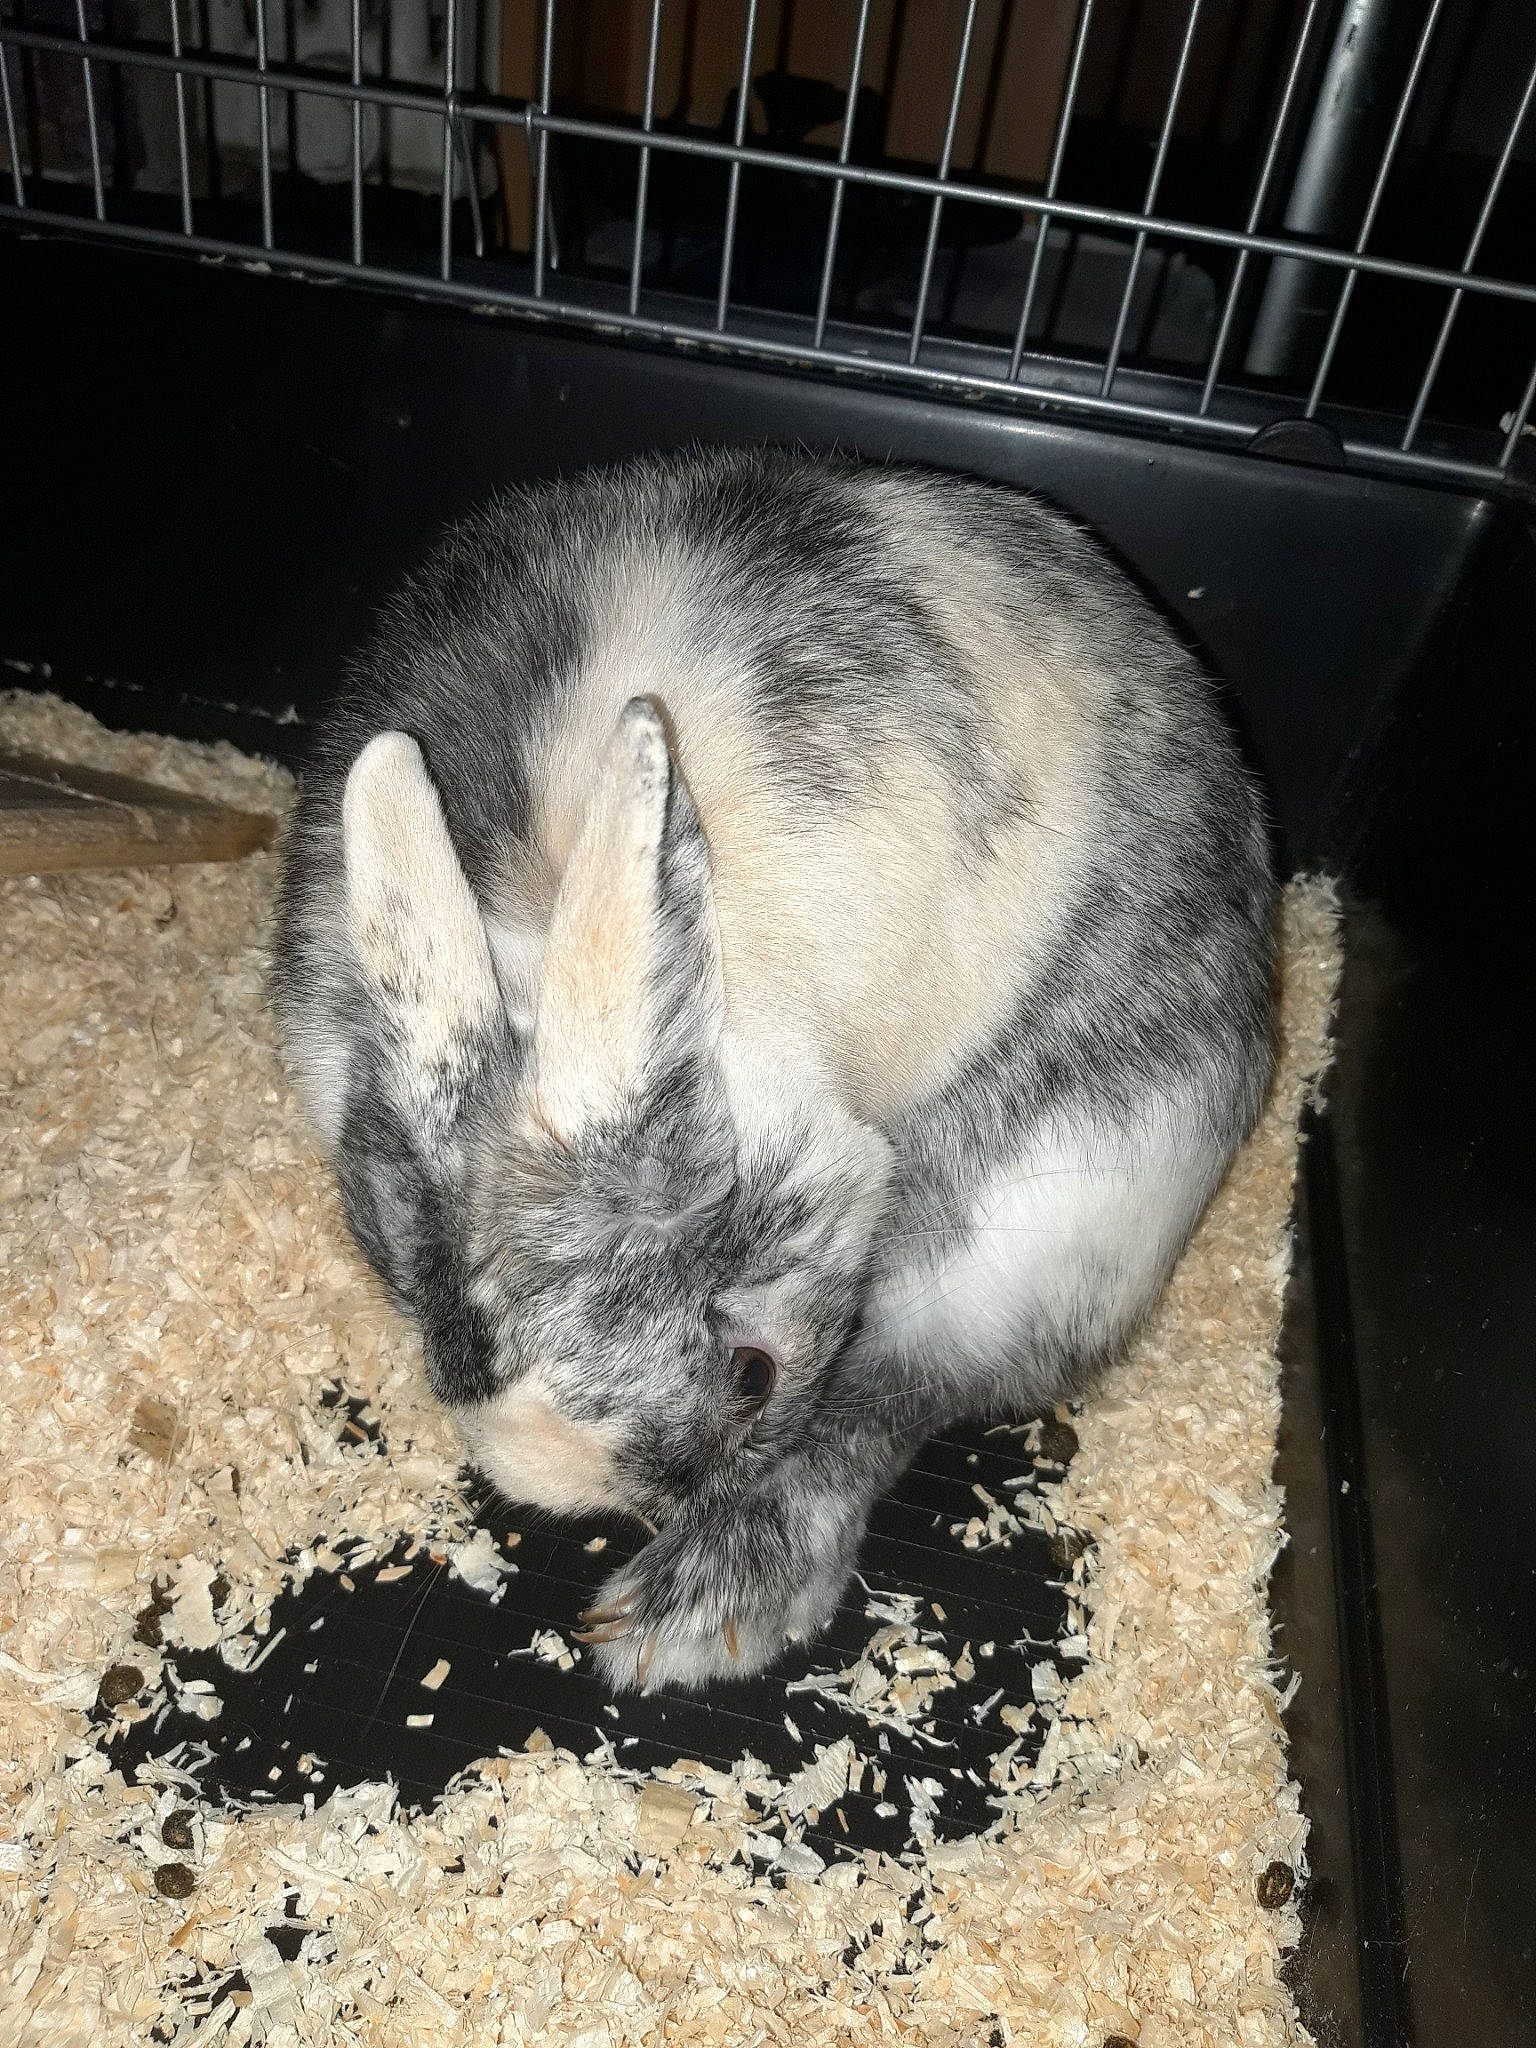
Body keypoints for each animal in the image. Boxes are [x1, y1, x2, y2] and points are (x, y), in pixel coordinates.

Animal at [271, 446, 1274, 1693]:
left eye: (750, 1373)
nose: (646, 1496)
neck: (546, 917)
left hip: (1066, 1211)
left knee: (898, 1394)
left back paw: (685, 1614)